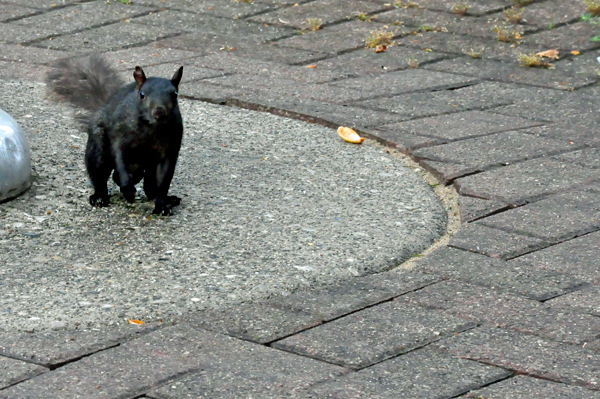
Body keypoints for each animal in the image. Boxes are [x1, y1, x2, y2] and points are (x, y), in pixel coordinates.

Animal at [46, 55, 184, 216]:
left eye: (175, 95)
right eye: (142, 95)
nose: (159, 112)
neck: (151, 127)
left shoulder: (169, 149)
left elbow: (163, 180)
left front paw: (162, 204)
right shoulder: (119, 136)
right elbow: (119, 159)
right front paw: (128, 190)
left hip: (148, 167)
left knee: (149, 186)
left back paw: (169, 199)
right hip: (98, 149)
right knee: (101, 174)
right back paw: (100, 197)